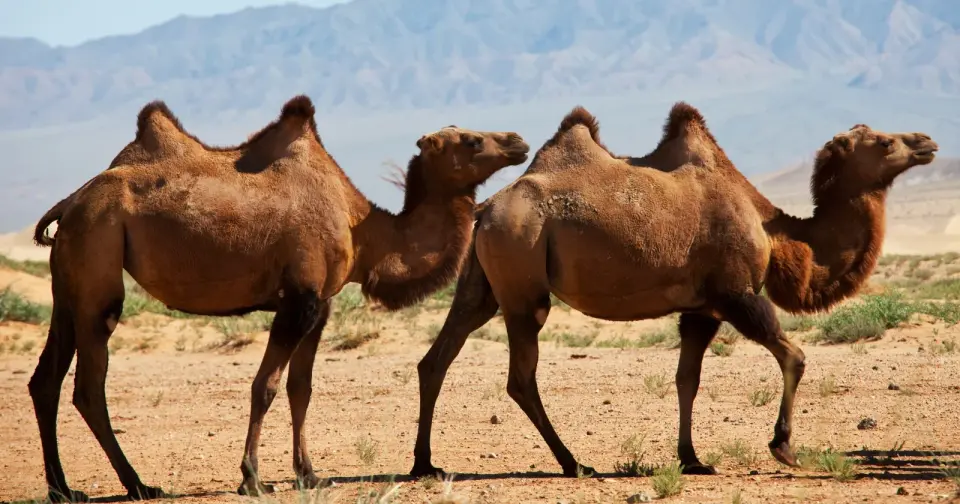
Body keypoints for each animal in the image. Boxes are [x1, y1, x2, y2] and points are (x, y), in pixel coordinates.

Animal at [27, 94, 530, 502]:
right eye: (470, 140)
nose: (518, 140)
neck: (363, 230)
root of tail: (70, 202)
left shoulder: (321, 305)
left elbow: (300, 388)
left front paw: (309, 474)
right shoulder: (298, 299)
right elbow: (264, 386)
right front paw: (252, 478)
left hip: (69, 280)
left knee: (45, 379)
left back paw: (63, 489)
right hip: (99, 257)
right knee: (89, 385)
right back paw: (138, 484)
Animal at [409, 103, 939, 479]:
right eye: (884, 142)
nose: (927, 140)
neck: (773, 230)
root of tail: (486, 210)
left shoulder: (701, 309)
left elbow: (688, 378)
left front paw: (692, 458)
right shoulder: (736, 294)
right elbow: (794, 355)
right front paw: (784, 447)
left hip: (482, 285)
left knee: (437, 357)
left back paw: (424, 464)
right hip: (523, 283)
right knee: (520, 377)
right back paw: (574, 463)